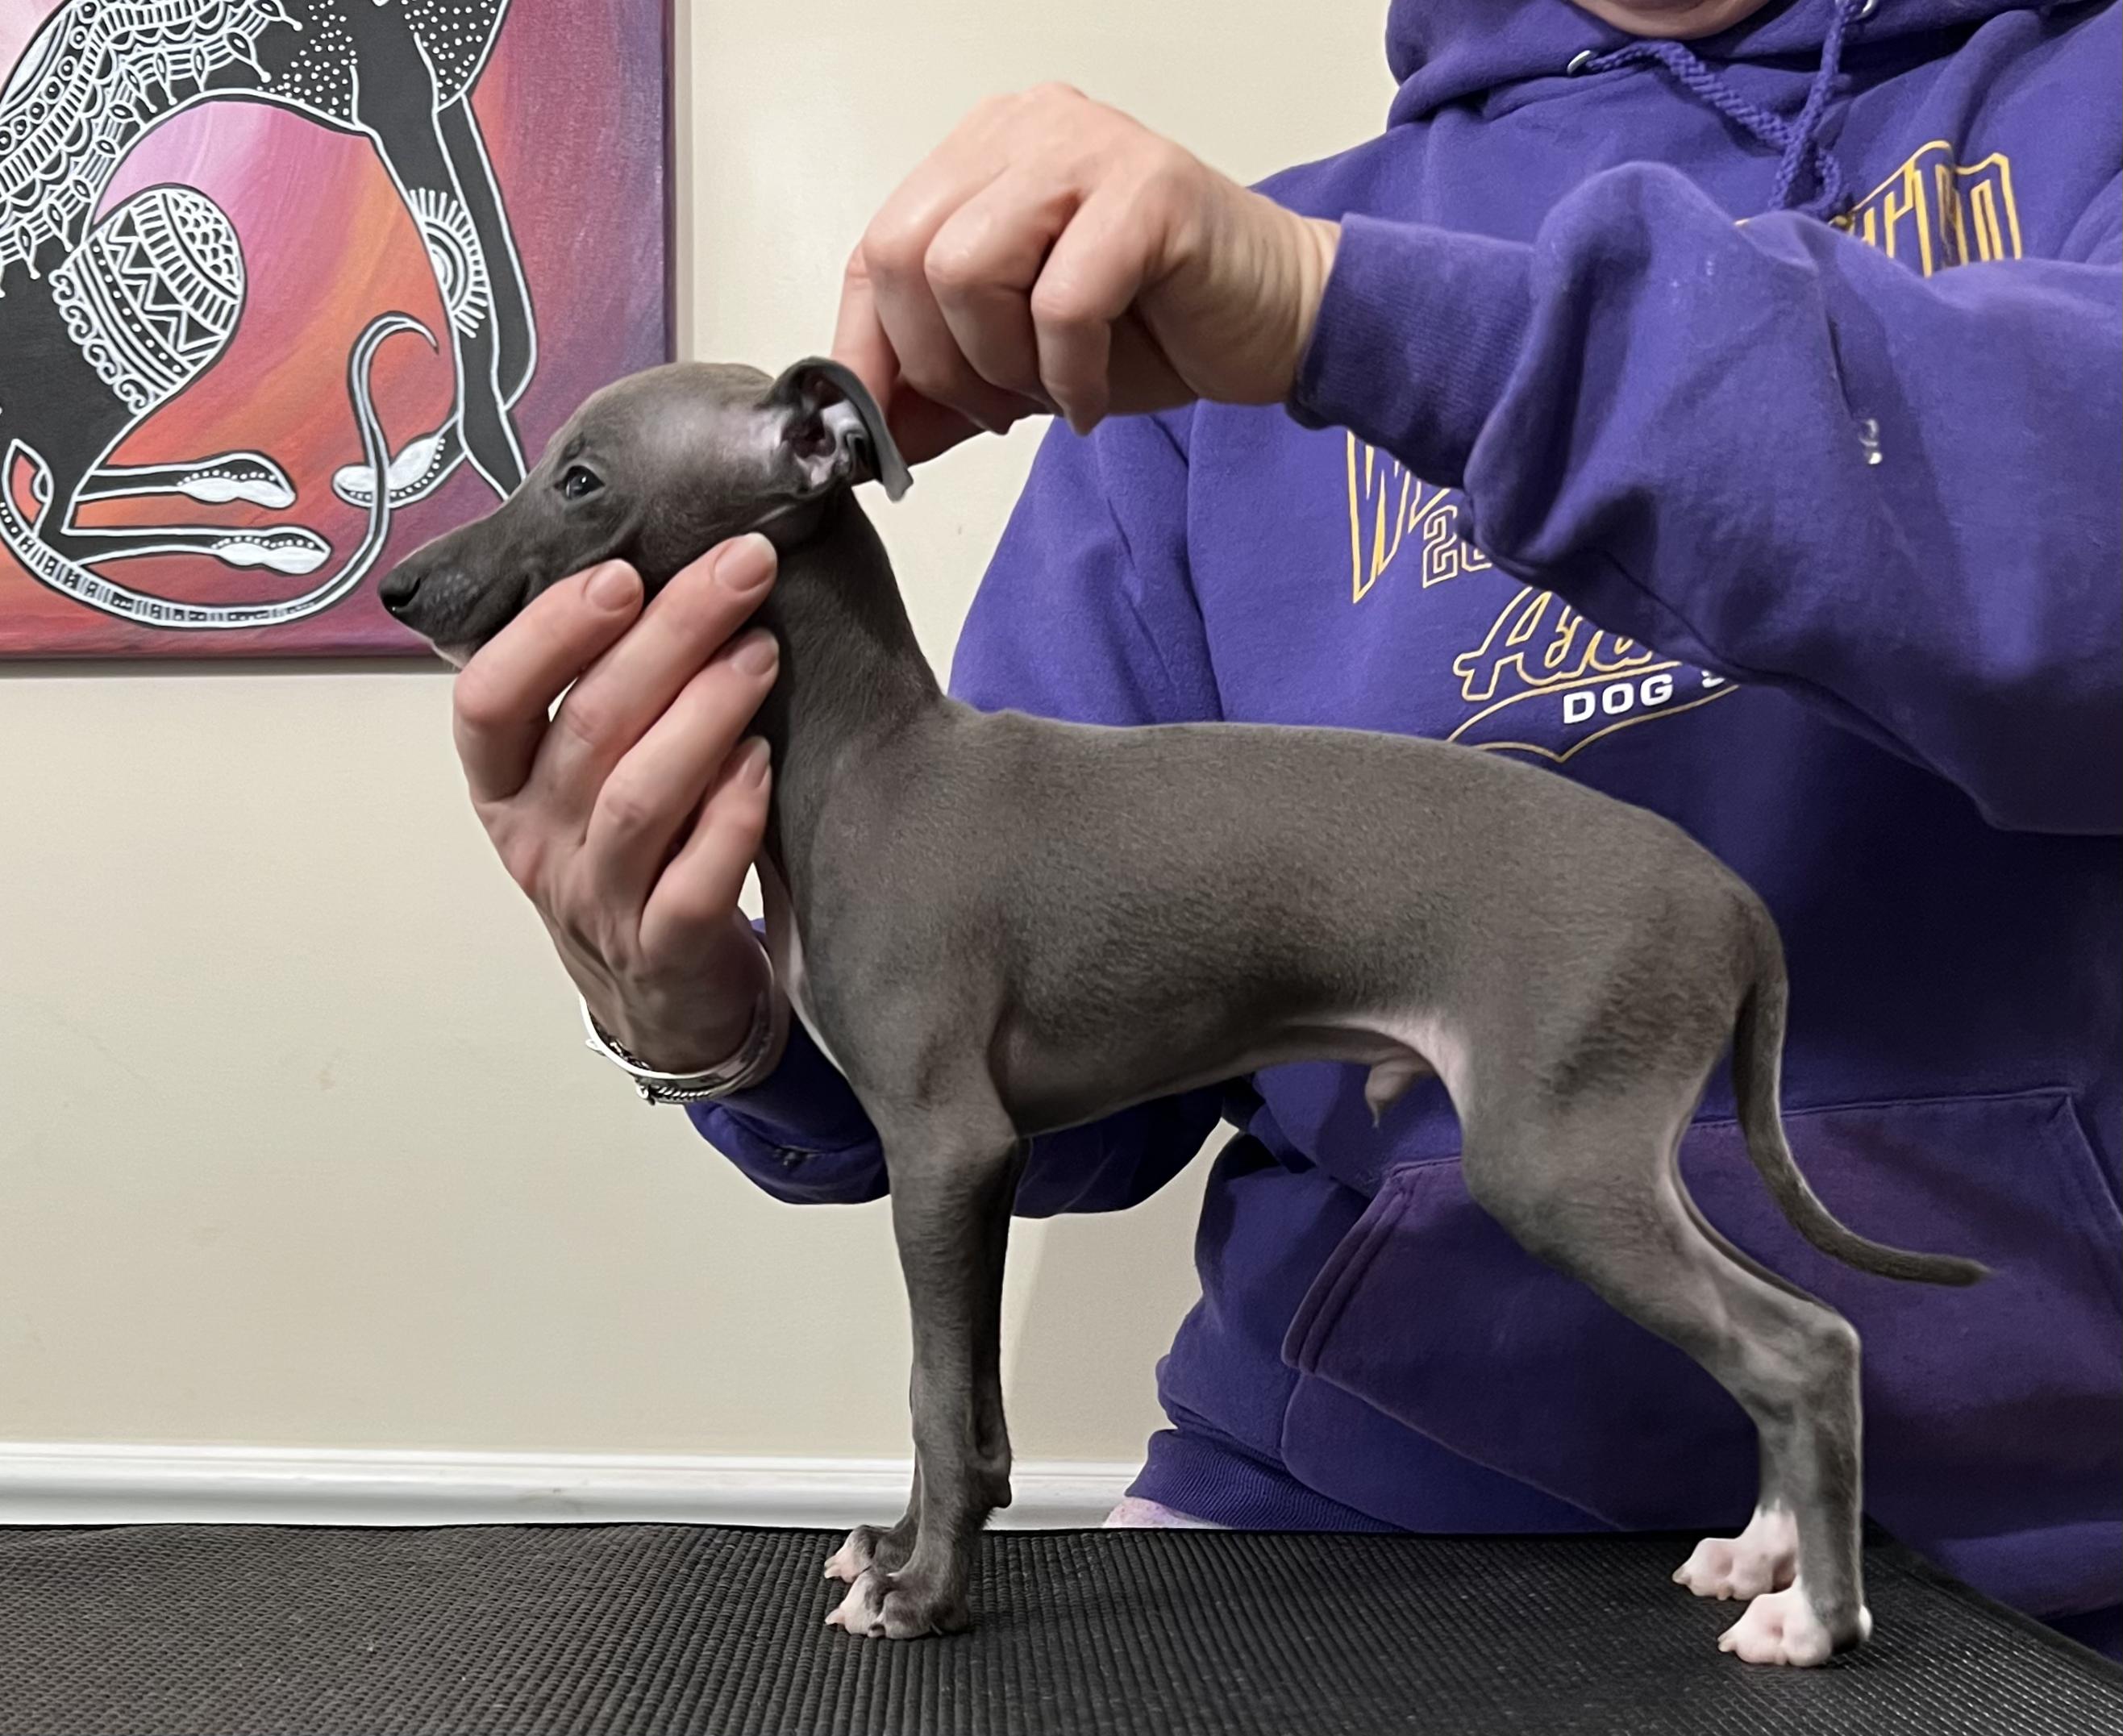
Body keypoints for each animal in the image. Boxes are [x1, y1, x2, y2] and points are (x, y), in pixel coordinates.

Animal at [0, 0, 532, 630]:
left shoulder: (444, 104)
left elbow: (508, 333)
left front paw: (420, 468)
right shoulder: (395, 101)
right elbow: (475, 321)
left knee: (53, 492)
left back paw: (235, 481)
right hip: (185, 228)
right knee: (55, 518)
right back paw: (271, 543)